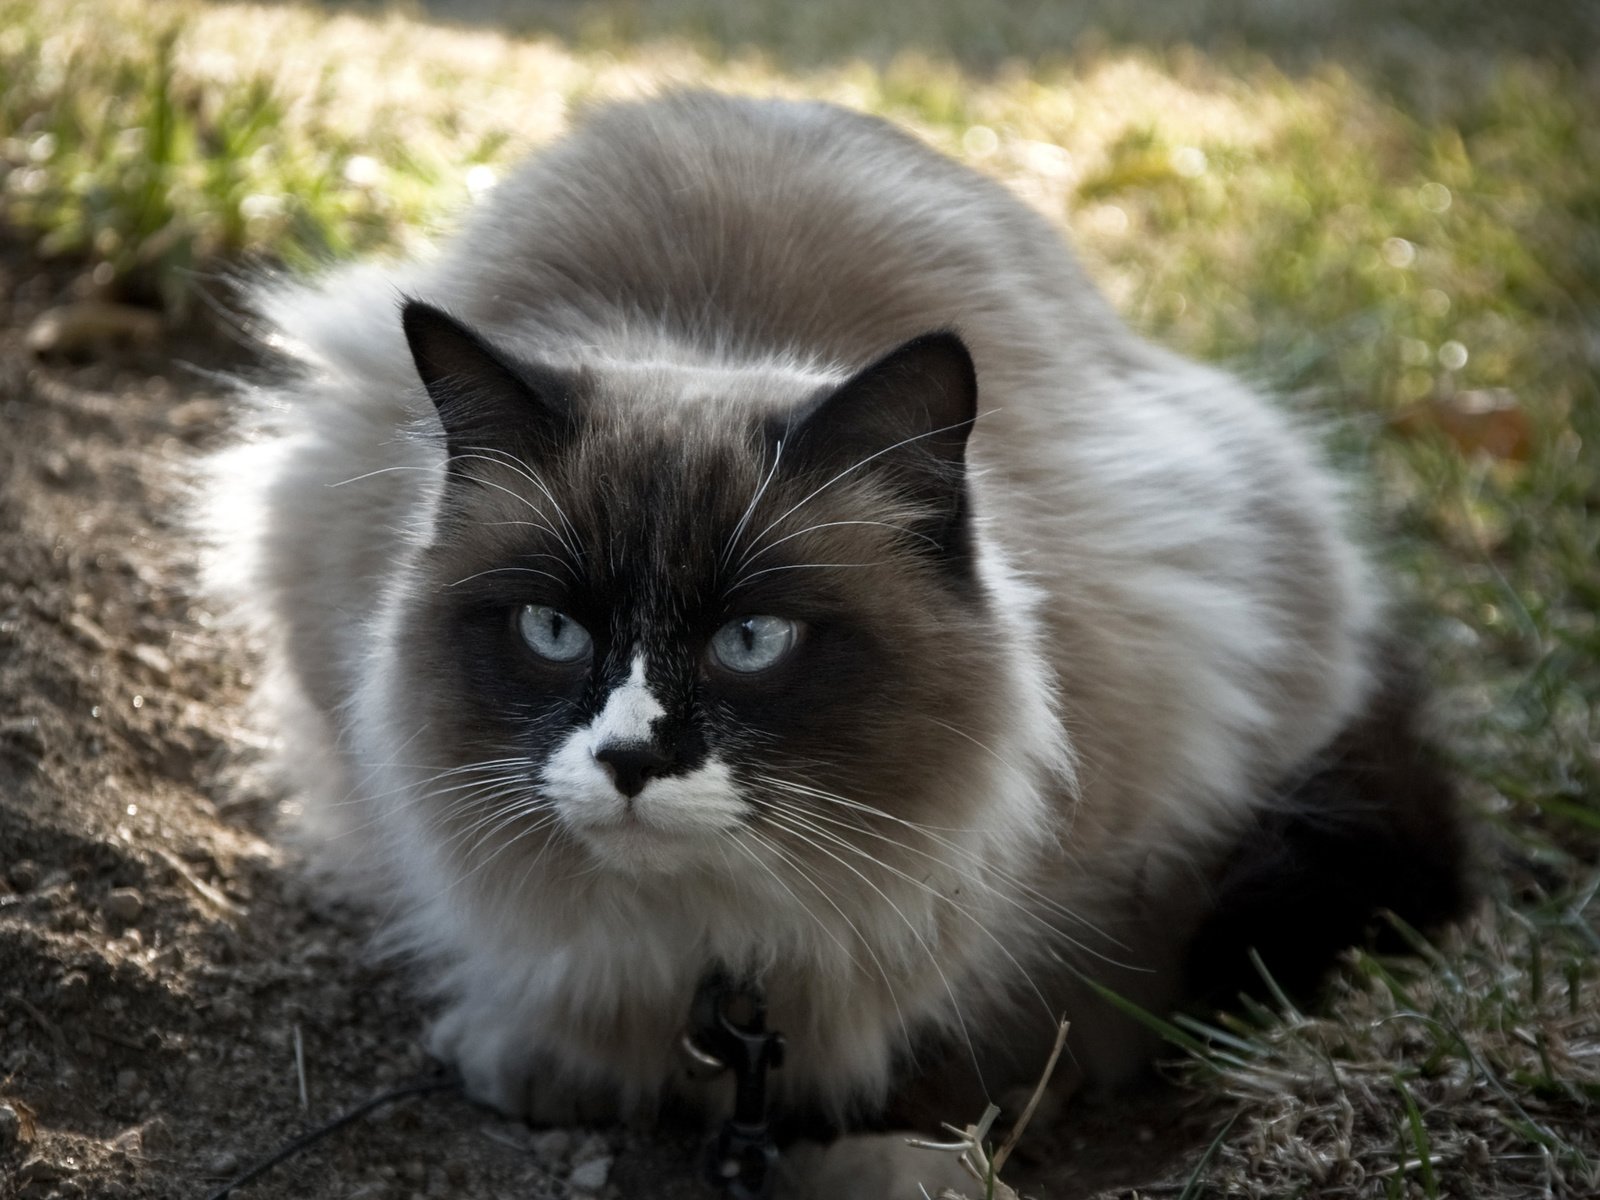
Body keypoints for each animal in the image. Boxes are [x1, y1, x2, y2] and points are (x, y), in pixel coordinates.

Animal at [203, 86, 1472, 1196]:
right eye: (552, 631)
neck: (719, 957)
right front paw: (546, 1057)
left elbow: (1065, 993)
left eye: (753, 641)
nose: (630, 761)